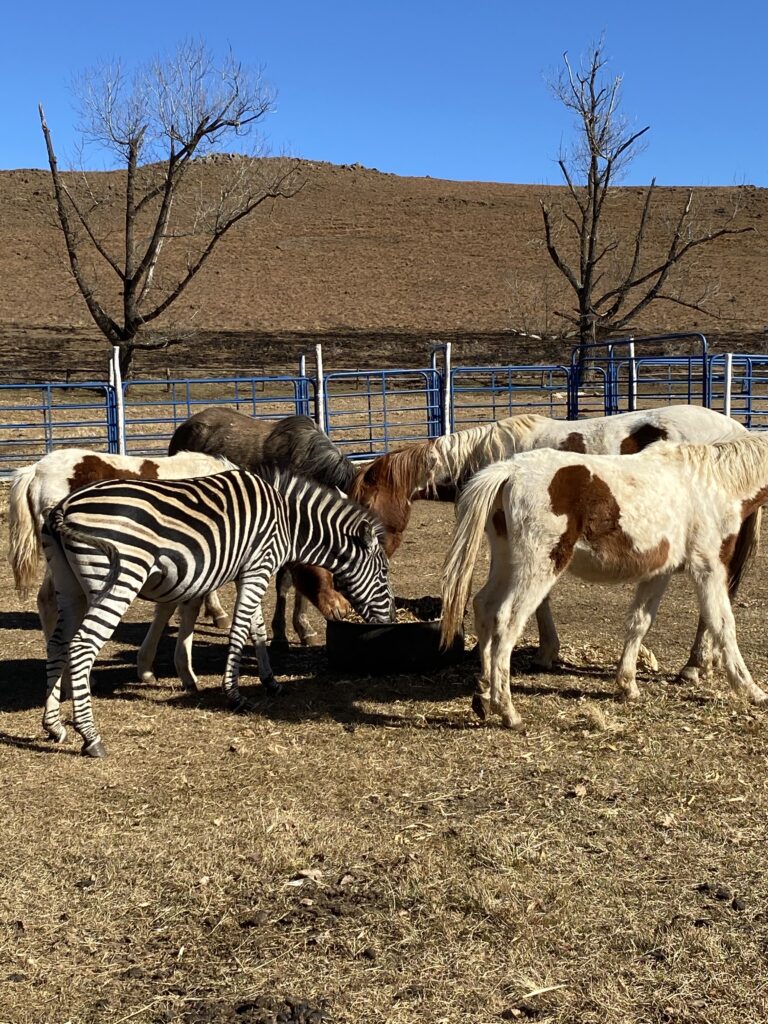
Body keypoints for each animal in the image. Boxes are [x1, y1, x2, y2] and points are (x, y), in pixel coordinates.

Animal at [39, 468, 393, 757]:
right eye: (384, 572)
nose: (389, 620)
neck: (288, 521)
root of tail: (63, 507)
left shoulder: (250, 571)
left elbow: (257, 630)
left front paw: (270, 681)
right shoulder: (259, 567)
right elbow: (240, 630)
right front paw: (234, 694)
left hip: (70, 587)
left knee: (57, 644)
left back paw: (53, 726)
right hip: (119, 578)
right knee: (82, 646)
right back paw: (90, 736)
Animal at [442, 436, 768, 733]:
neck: (711, 484)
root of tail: (510, 470)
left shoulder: (659, 572)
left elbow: (640, 622)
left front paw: (628, 685)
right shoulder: (707, 566)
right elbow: (723, 624)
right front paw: (752, 690)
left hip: (506, 560)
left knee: (483, 607)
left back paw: (484, 694)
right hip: (538, 567)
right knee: (507, 620)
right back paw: (508, 711)